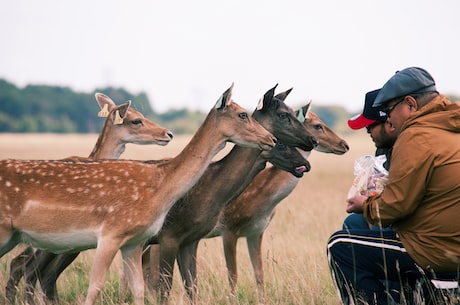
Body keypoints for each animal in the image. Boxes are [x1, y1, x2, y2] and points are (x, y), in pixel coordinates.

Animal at [141, 84, 320, 302]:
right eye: (283, 114)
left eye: (295, 113)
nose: (312, 141)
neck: (211, 188)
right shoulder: (170, 235)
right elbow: (166, 287)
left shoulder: (189, 240)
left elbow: (192, 287)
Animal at [208, 102, 348, 304]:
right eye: (317, 125)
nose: (345, 145)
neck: (265, 202)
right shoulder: (228, 229)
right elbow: (233, 276)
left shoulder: (256, 231)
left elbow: (259, 273)